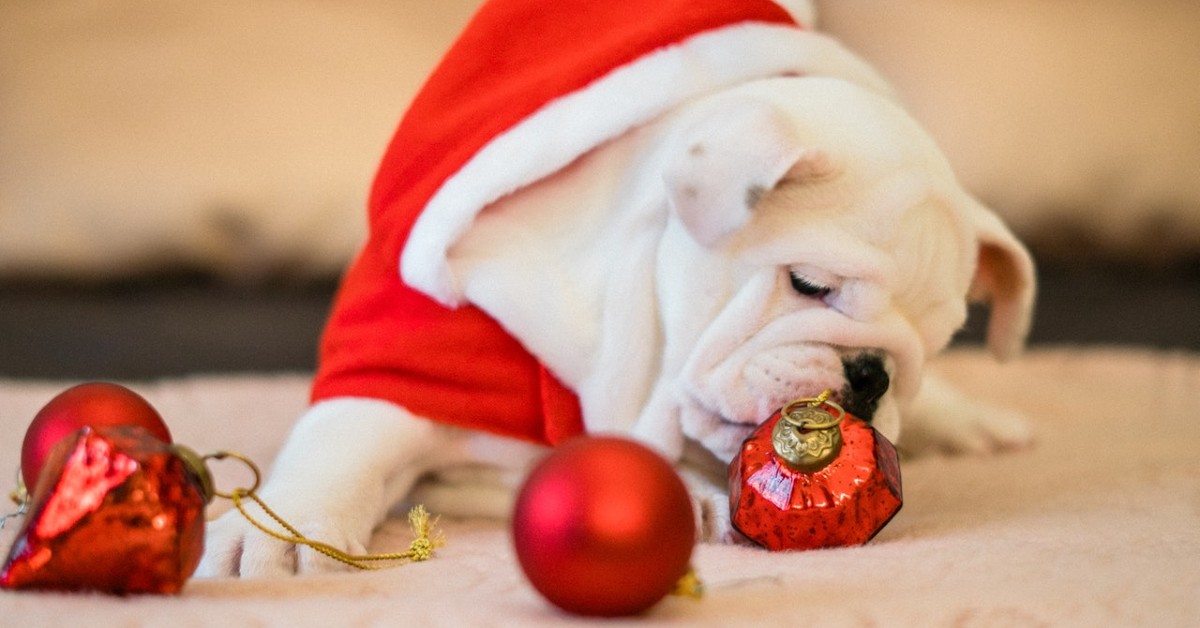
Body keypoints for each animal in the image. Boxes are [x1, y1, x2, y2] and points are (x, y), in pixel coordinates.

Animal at [196, 75, 1032, 581]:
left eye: (935, 344)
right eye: (809, 285)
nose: (871, 374)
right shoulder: (414, 359)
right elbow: (345, 440)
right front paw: (281, 531)